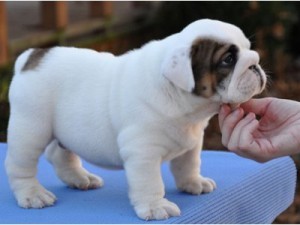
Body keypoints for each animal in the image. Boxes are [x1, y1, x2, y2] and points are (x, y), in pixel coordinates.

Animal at [5, 18, 268, 220]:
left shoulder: (192, 141)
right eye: (228, 60)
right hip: (31, 128)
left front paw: (193, 183)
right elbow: (150, 182)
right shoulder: (143, 152)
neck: (187, 104)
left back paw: (80, 178)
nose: (255, 62)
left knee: (59, 154)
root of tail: (31, 56)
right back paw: (32, 194)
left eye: (248, 48)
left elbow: (188, 164)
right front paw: (156, 207)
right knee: (19, 165)